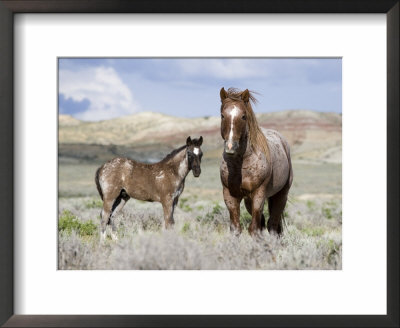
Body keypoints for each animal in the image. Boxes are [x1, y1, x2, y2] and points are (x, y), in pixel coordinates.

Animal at [220, 87, 292, 236]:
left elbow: (254, 229)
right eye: (222, 115)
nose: (230, 147)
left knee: (273, 224)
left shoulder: (259, 195)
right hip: (249, 200)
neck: (241, 165)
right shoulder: (230, 195)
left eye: (243, 116)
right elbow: (236, 228)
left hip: (281, 195)